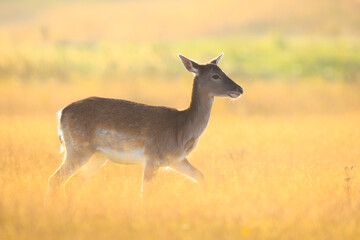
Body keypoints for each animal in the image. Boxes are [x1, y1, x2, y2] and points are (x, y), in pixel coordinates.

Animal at [45, 53, 242, 200]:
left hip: (97, 156)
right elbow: (146, 193)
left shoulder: (176, 159)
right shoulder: (152, 156)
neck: (182, 130)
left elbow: (201, 177)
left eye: (222, 71)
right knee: (55, 179)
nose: (239, 89)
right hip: (78, 148)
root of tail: (61, 114)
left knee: (71, 184)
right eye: (215, 75)